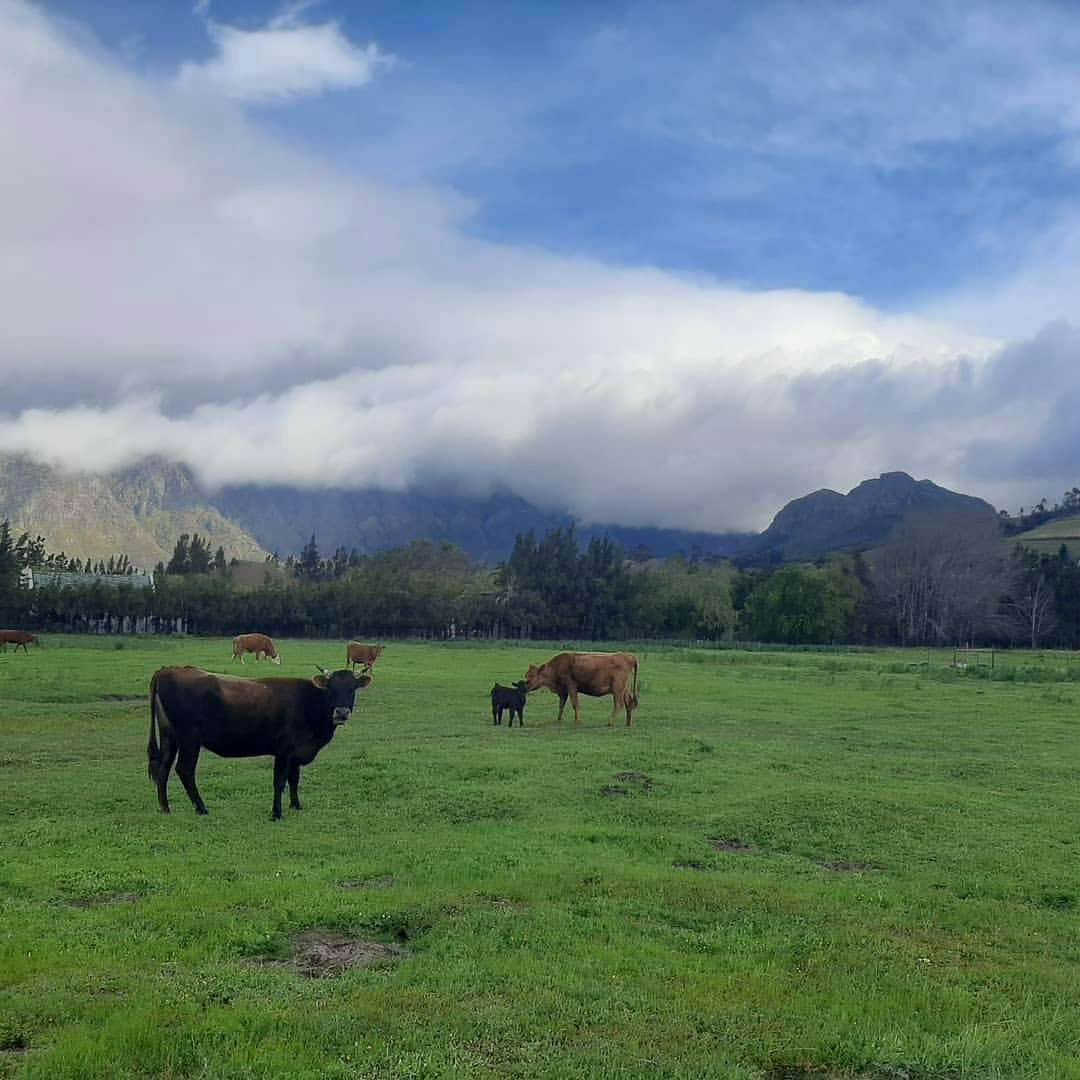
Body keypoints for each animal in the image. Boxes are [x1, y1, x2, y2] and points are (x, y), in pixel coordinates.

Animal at [150, 660, 371, 820]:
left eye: (352, 688)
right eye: (331, 688)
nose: (341, 712)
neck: (307, 701)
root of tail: (167, 669)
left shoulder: (296, 752)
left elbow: (294, 779)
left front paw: (296, 805)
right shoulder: (284, 751)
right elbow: (280, 781)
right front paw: (276, 813)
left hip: (169, 736)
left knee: (163, 768)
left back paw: (165, 807)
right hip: (190, 740)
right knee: (184, 770)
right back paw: (201, 808)